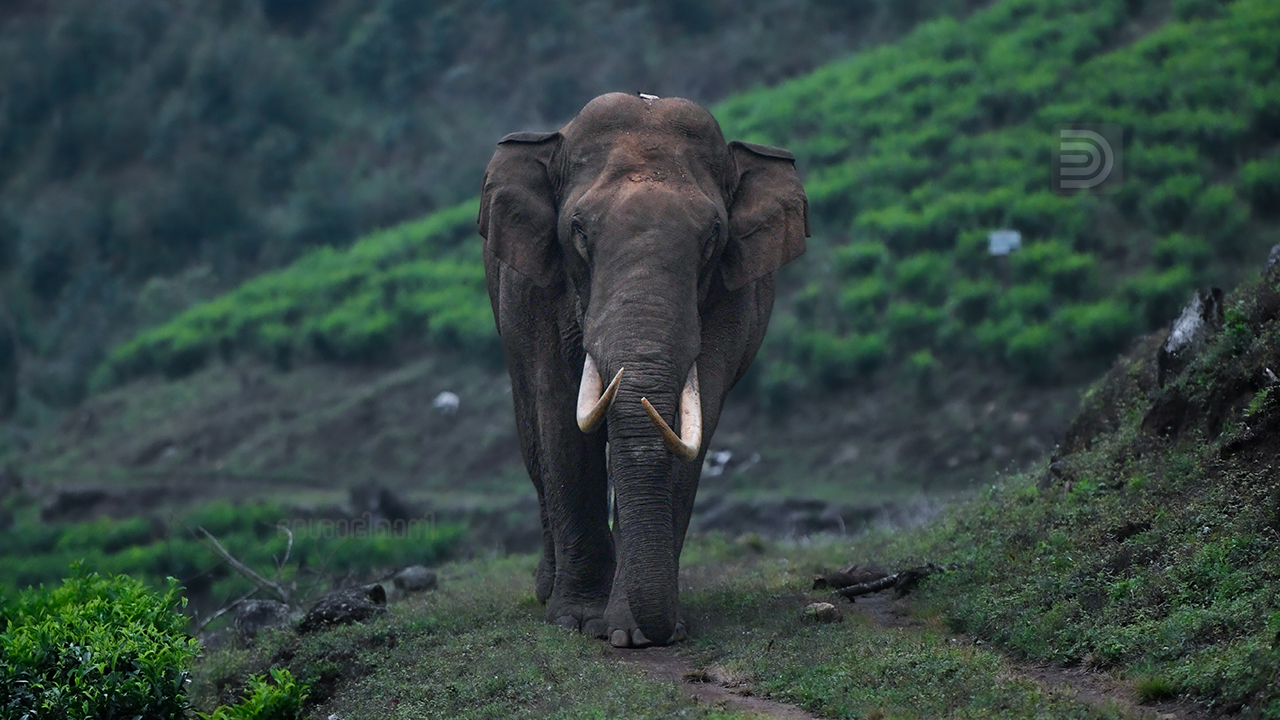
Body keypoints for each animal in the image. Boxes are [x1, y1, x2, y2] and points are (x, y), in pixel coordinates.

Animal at [478, 92, 807, 647]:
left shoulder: (731, 298)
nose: (657, 631)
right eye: (579, 232)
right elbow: (560, 420)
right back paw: (547, 593)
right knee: (531, 436)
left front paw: (636, 632)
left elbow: (691, 422)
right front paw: (577, 620)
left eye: (712, 237)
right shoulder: (536, 290)